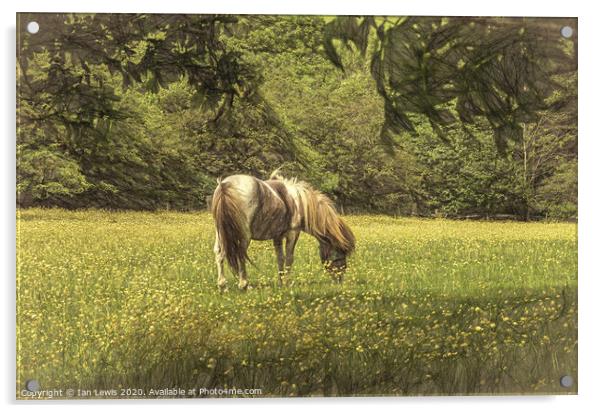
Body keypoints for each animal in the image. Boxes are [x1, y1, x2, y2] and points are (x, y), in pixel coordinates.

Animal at [210, 171, 354, 290]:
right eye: (341, 252)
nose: (340, 279)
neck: (299, 203)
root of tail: (224, 185)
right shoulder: (293, 234)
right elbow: (289, 258)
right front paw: (287, 283)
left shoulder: (277, 237)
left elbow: (280, 258)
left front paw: (281, 282)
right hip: (244, 235)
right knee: (240, 254)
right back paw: (244, 285)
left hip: (220, 232)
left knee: (219, 253)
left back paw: (223, 286)